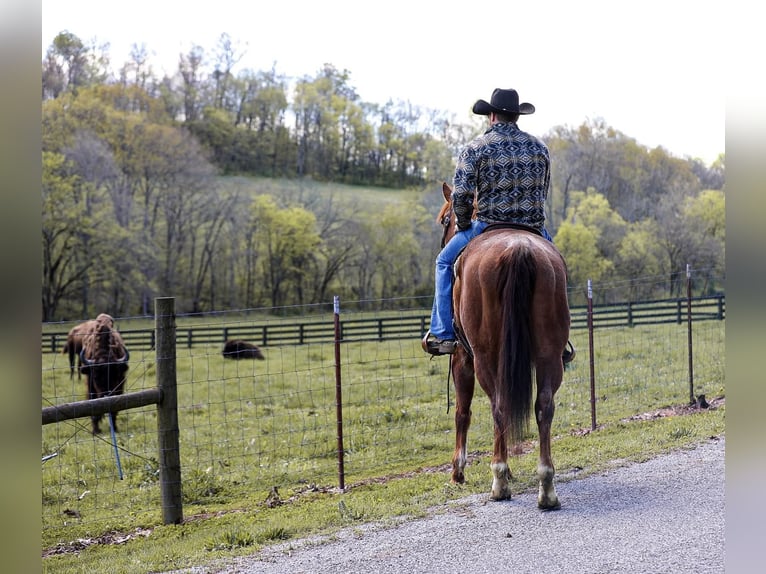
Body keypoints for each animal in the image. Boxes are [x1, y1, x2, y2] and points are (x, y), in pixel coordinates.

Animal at [438, 182, 568, 510]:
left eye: (445, 220)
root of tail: (517, 248)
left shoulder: (462, 358)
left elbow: (462, 412)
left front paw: (458, 472)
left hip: (485, 358)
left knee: (499, 405)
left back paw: (499, 480)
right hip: (549, 355)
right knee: (543, 406)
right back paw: (547, 486)